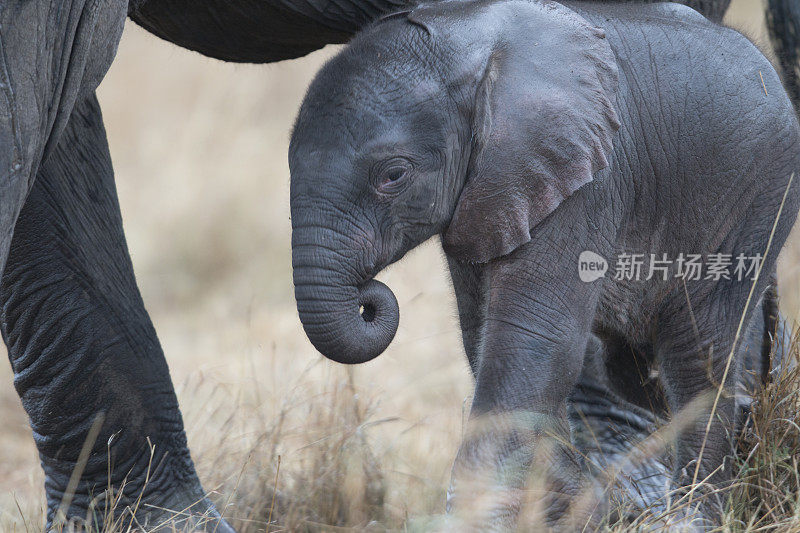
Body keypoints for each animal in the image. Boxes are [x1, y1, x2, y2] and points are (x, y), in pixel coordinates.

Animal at [290, 0, 800, 528]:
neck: (464, 46)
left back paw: (694, 514)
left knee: (696, 353)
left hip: (756, 202)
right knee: (632, 368)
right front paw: (576, 504)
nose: (368, 298)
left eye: (393, 175)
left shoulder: (584, 180)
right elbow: (485, 337)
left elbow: (533, 341)